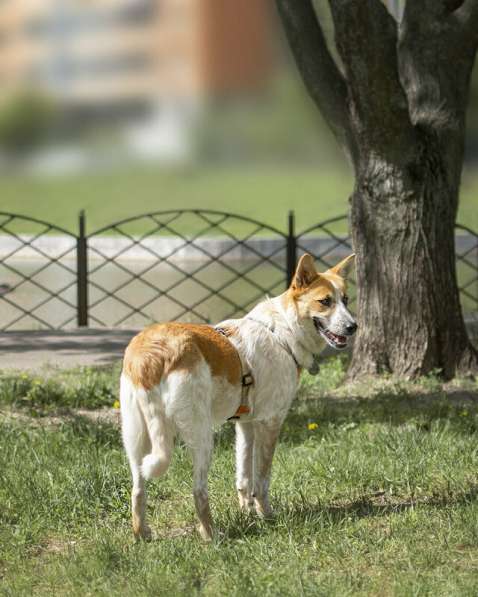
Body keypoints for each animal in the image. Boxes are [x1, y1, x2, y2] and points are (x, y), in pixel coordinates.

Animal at [121, 251, 356, 540]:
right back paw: (212, 536)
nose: (354, 327)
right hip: (201, 436)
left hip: (134, 438)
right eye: (325, 302)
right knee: (198, 491)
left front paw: (247, 512)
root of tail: (150, 354)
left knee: (138, 489)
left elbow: (244, 476)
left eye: (346, 300)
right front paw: (267, 516)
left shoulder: (245, 425)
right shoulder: (270, 422)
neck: (283, 332)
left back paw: (143, 535)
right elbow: (262, 480)